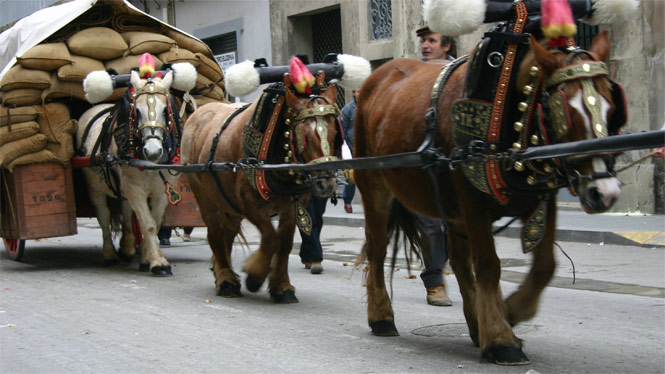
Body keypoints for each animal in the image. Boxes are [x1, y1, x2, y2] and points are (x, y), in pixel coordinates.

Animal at [77, 67, 188, 276]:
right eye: (137, 110)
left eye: (165, 110)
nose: (153, 151)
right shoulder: (135, 189)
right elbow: (148, 224)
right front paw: (158, 262)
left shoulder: (161, 192)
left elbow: (155, 222)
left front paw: (147, 258)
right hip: (94, 188)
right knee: (104, 217)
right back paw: (111, 255)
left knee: (126, 211)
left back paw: (127, 247)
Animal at [182, 72, 342, 300]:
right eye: (304, 135)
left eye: (335, 132)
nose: (327, 183)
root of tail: (198, 114)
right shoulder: (249, 203)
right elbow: (270, 238)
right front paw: (255, 276)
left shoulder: (293, 206)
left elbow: (284, 244)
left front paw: (281, 287)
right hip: (203, 195)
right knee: (214, 232)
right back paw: (226, 280)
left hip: (228, 202)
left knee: (227, 232)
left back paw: (223, 272)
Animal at [352, 30, 624, 366]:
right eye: (566, 111)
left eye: (611, 106)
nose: (605, 192)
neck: (505, 107)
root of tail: (375, 79)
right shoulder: (473, 204)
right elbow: (488, 266)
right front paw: (501, 338)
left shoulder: (541, 200)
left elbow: (544, 266)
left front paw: (511, 312)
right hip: (375, 187)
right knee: (377, 249)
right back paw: (381, 316)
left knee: (457, 259)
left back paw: (474, 323)